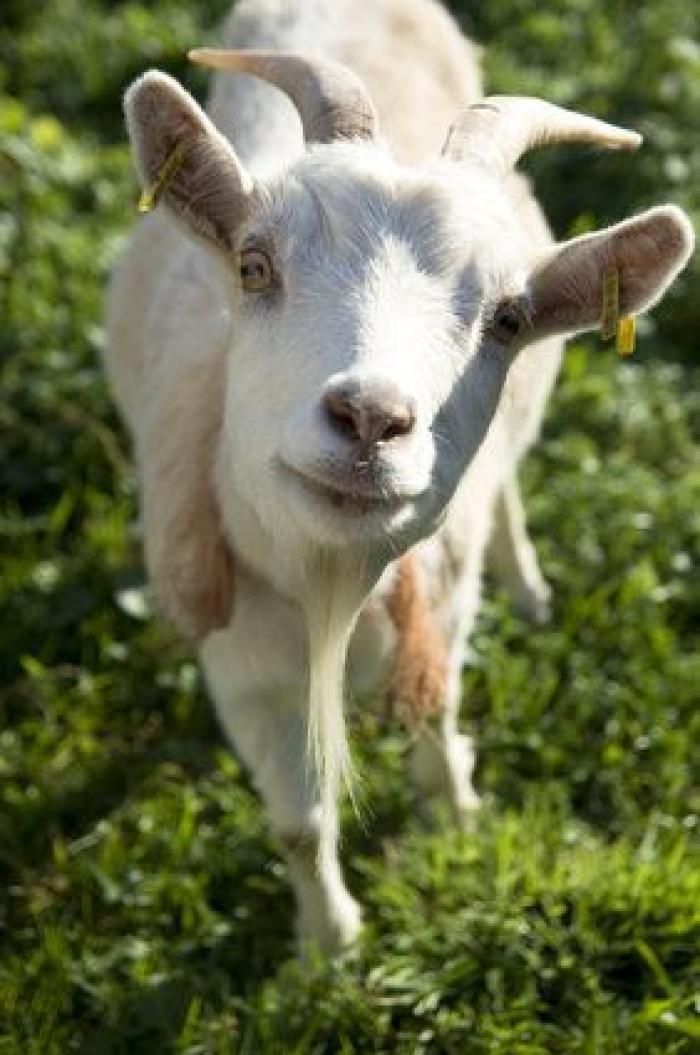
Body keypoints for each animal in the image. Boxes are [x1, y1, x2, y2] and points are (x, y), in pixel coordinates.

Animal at [104, 0, 694, 952]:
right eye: (254, 265)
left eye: (509, 318)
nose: (372, 417)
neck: (332, 593)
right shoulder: (241, 663)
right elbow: (298, 822)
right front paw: (331, 945)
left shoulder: (441, 612)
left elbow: (435, 722)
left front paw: (457, 823)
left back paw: (530, 589)